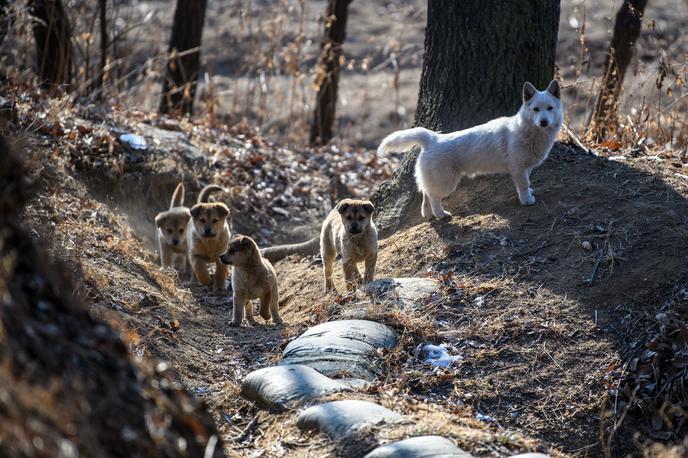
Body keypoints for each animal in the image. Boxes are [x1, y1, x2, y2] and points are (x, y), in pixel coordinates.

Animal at [376, 80, 564, 220]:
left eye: (550, 108)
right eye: (536, 109)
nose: (544, 122)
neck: (530, 131)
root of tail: (432, 138)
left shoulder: (526, 167)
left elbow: (527, 182)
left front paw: (528, 193)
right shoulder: (517, 167)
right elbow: (524, 184)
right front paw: (526, 200)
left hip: (436, 180)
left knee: (426, 193)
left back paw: (428, 214)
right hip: (446, 182)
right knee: (434, 197)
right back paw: (441, 214)